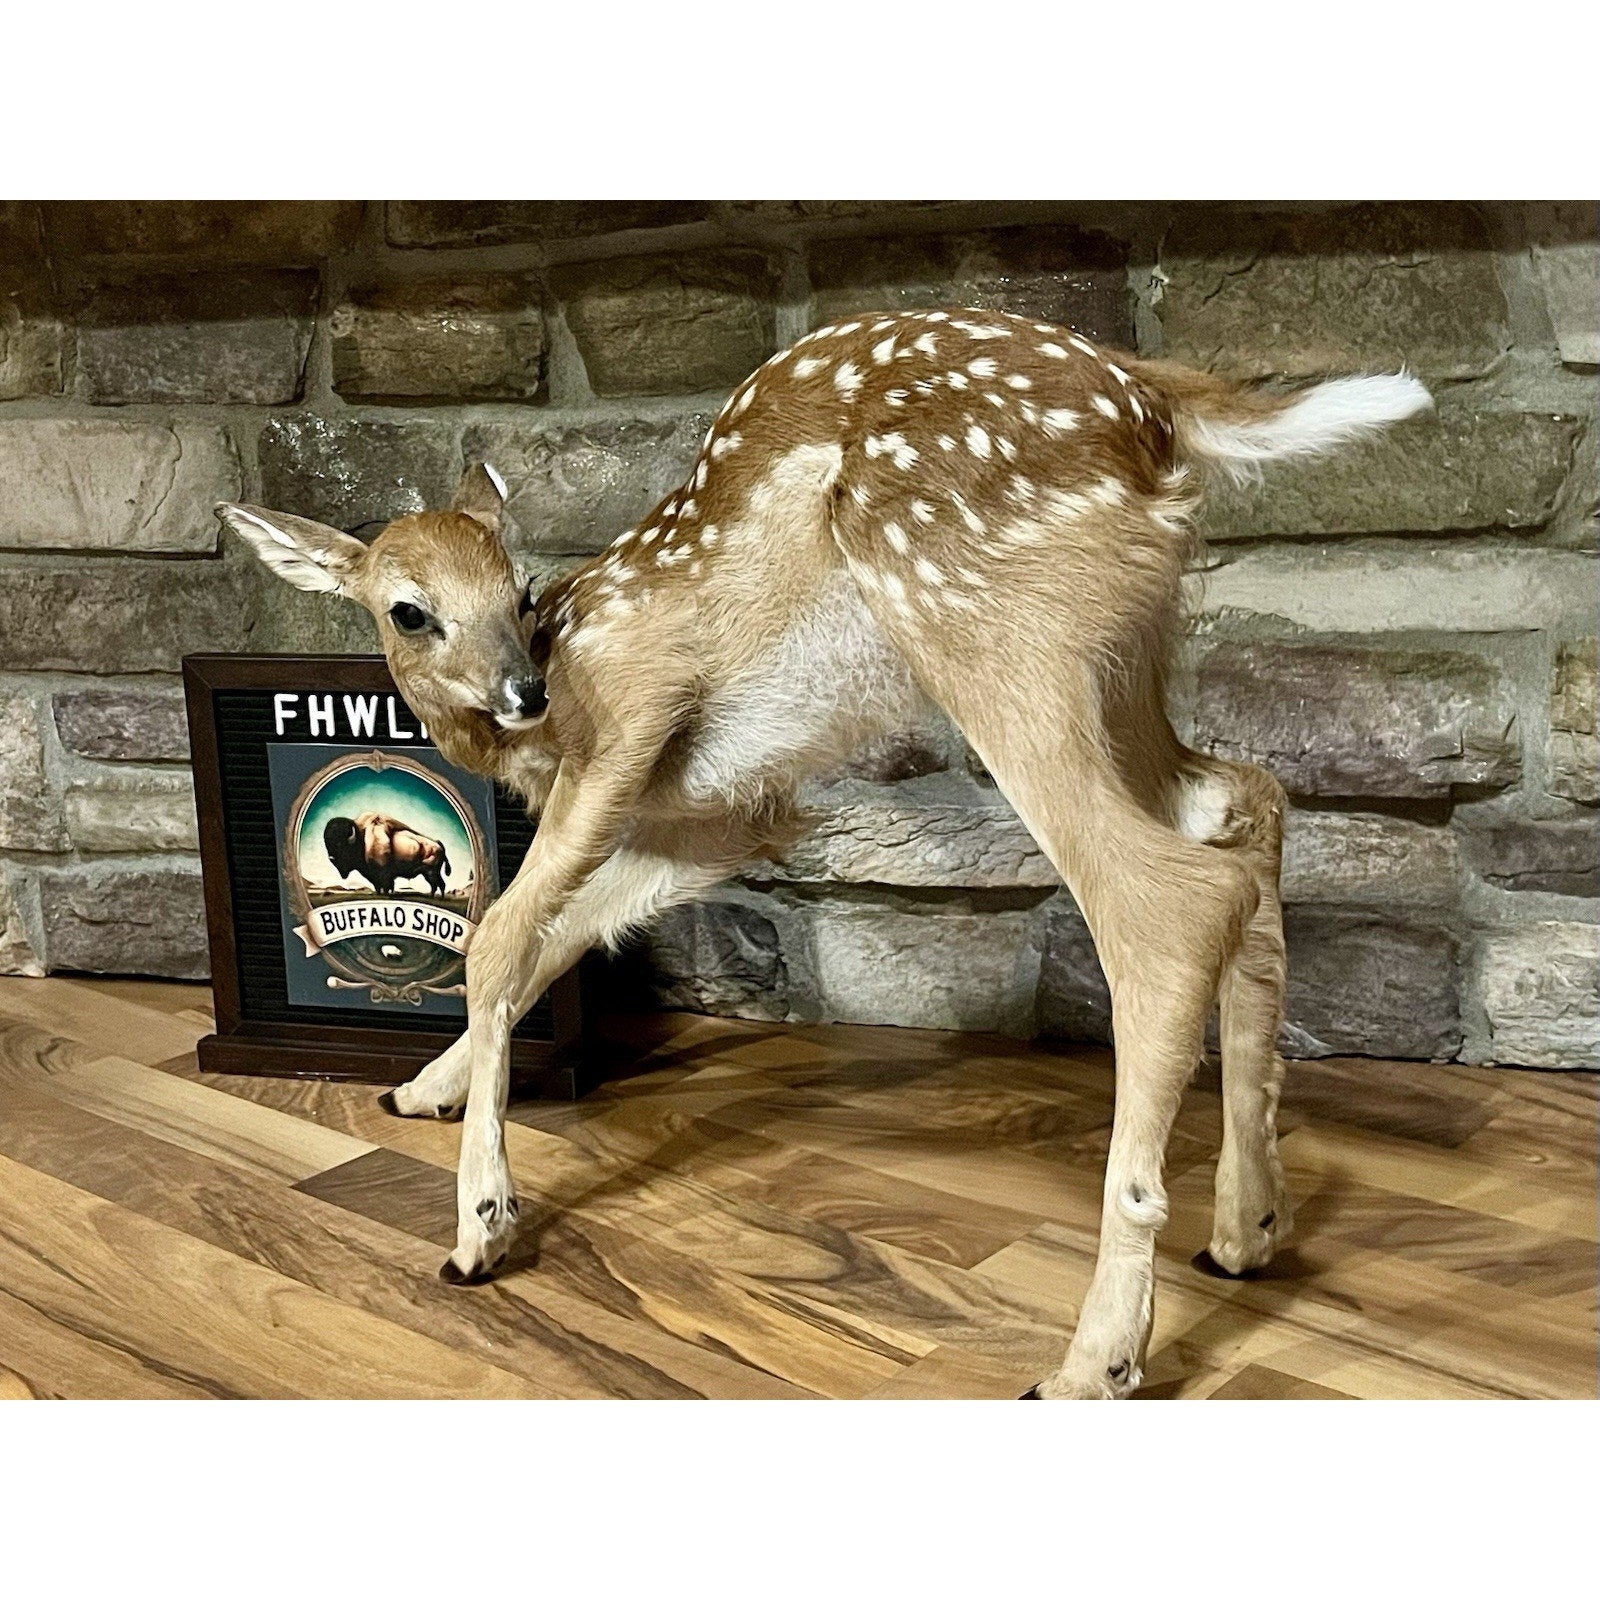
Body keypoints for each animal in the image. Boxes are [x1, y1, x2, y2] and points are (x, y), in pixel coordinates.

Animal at [220, 306, 1430, 1398]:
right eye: (409, 610)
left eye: (517, 594)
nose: (522, 690)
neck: (541, 719)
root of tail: (1156, 404)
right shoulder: (724, 815)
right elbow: (566, 934)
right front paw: (422, 1088)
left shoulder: (635, 720)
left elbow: (505, 932)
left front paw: (479, 1222)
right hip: (1122, 658)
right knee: (1246, 800)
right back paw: (1247, 1224)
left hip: (987, 624)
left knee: (1170, 898)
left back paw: (1094, 1359)